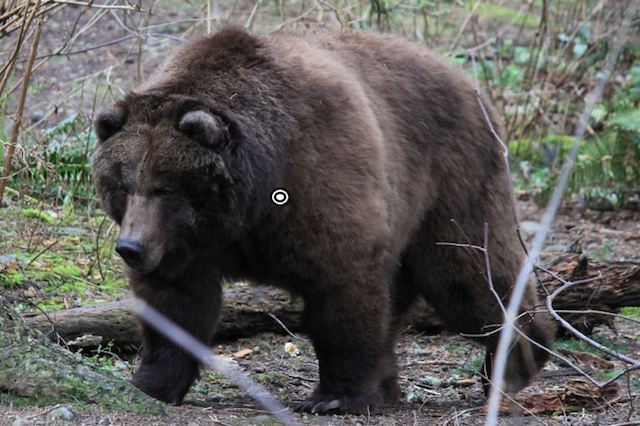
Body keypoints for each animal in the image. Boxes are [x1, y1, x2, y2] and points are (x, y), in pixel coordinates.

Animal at [91, 26, 556, 412]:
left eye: (165, 188)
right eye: (123, 184)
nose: (130, 248)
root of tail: (470, 82)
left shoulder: (317, 174)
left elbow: (343, 286)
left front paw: (333, 397)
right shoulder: (185, 246)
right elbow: (175, 303)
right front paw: (151, 382)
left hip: (452, 179)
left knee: (469, 274)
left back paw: (518, 360)